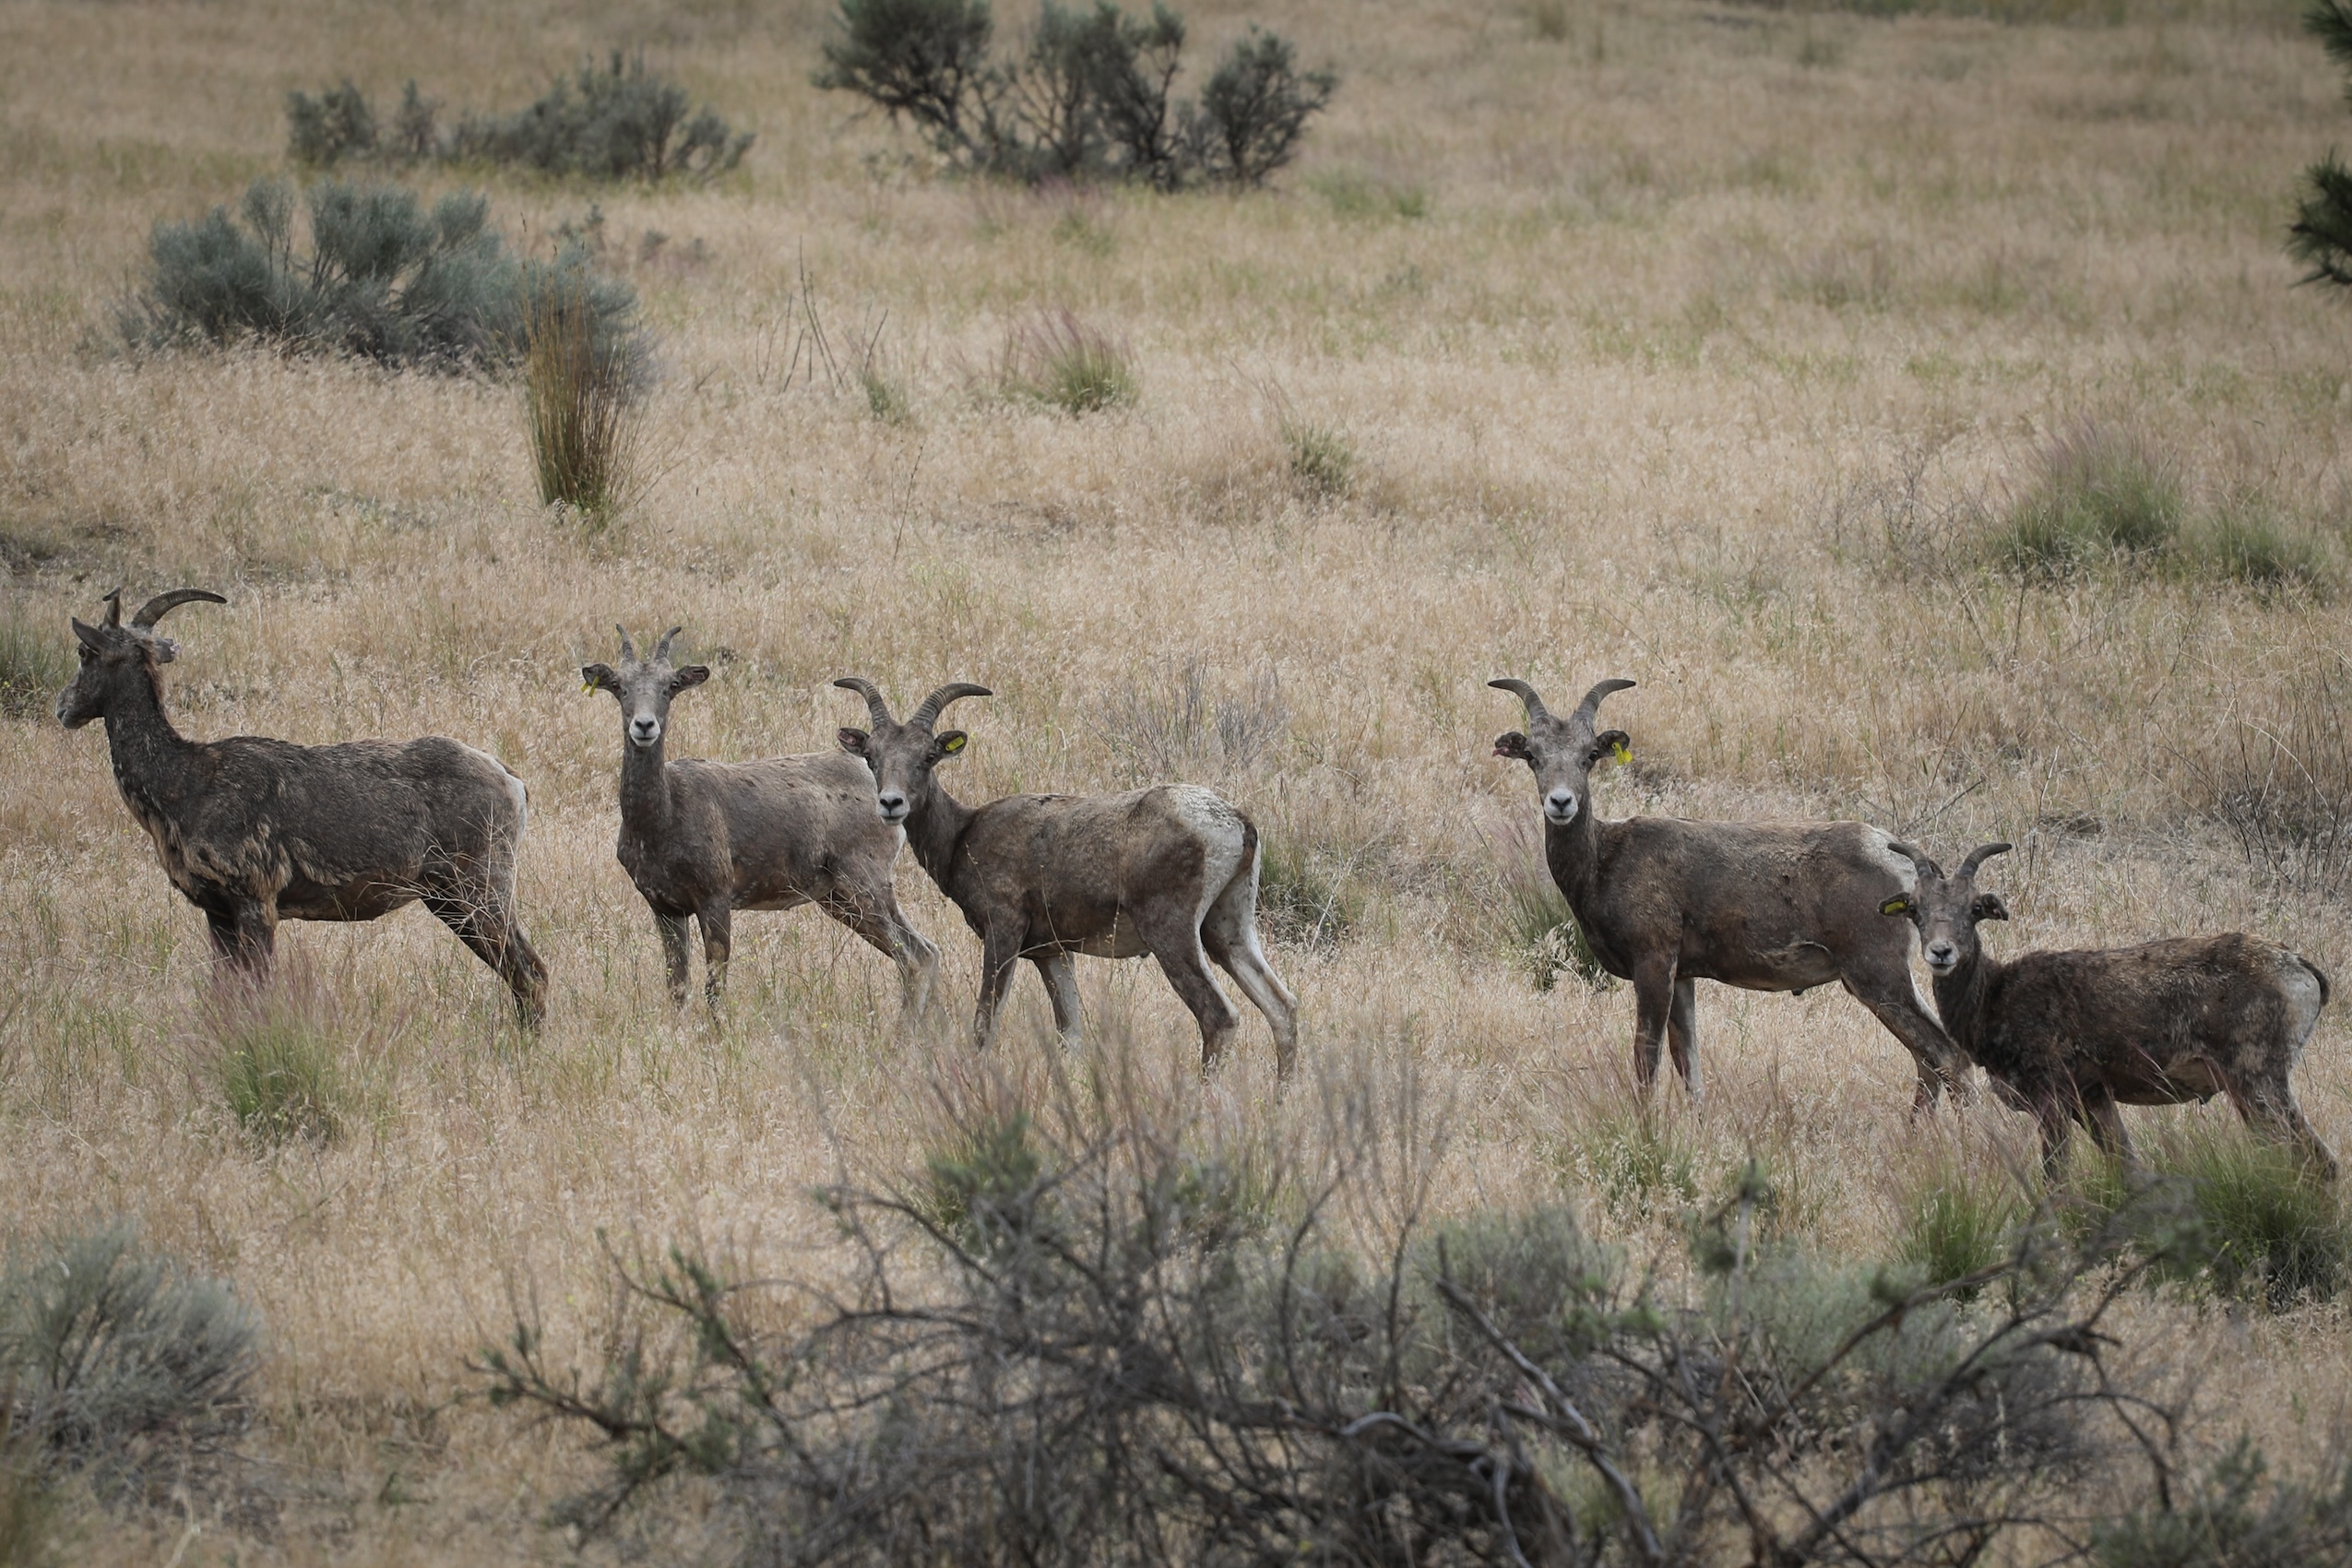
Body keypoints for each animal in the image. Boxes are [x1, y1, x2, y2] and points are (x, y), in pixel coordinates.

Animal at [57, 587, 549, 1025]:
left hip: (478, 887)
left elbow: (257, 991)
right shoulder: (218, 913)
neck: (184, 786)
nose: (64, 707)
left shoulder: (256, 900)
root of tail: (514, 783)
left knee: (531, 971)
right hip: (449, 898)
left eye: (84, 651)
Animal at [581, 629, 940, 1014]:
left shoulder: (715, 899)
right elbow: (677, 988)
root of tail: (885, 792)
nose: (645, 725)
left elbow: (714, 988)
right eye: (619, 686)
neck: (663, 821)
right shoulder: (665, 908)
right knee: (925, 951)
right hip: (840, 899)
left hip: (865, 885)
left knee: (915, 956)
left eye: (671, 685)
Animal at [831, 677, 1299, 1074]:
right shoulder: (1053, 954)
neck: (964, 833)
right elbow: (1070, 1034)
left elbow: (985, 1023)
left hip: (1174, 934)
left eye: (928, 757)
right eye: (872, 756)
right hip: (1228, 931)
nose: (891, 804)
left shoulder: (1004, 934)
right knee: (1282, 1008)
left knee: (1219, 1017)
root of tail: (1235, 823)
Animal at [1489, 676, 1968, 1110]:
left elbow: (1647, 1062)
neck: (1604, 863)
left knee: (1947, 1056)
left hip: (1876, 974)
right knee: (1929, 1062)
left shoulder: (1654, 963)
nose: (1561, 802)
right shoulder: (1683, 977)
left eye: (1590, 756)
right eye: (1532, 756)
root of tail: (1902, 862)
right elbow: (1691, 1072)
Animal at [1881, 841, 2336, 1179]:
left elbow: (2056, 1179)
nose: (1941, 952)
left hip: (2257, 1079)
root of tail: (2301, 971)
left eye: (1975, 908)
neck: (1995, 999)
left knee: (2320, 1162)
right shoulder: (2094, 1098)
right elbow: (2128, 1167)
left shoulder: (2053, 1097)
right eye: (1915, 909)